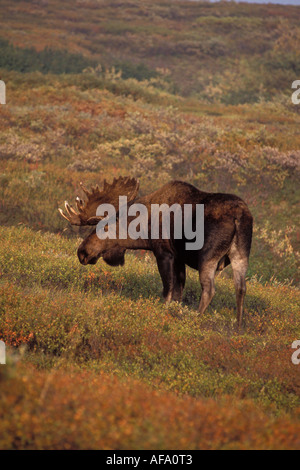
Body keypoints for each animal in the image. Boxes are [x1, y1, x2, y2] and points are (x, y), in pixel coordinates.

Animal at [58, 176, 251, 326]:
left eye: (104, 228)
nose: (82, 252)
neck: (142, 227)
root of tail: (239, 217)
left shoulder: (164, 252)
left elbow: (168, 289)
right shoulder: (179, 258)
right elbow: (178, 290)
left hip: (208, 256)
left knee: (209, 289)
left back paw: (196, 318)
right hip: (241, 255)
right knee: (241, 288)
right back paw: (238, 325)